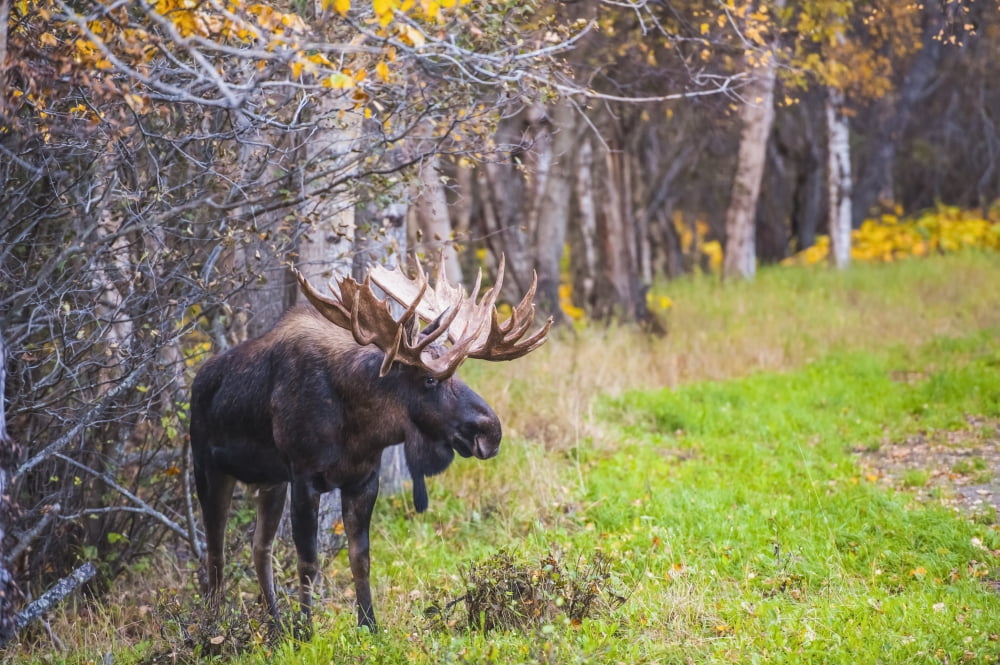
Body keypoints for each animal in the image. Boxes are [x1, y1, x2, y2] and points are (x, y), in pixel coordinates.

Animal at [188, 257, 551, 635]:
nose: (490, 431)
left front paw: (369, 626)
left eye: (458, 375)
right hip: (208, 467)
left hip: (270, 481)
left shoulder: (363, 480)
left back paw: (273, 623)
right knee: (216, 552)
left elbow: (361, 559)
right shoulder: (304, 477)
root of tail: (198, 381)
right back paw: (212, 625)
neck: (358, 430)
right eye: (430, 379)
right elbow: (309, 561)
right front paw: (306, 631)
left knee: (261, 547)